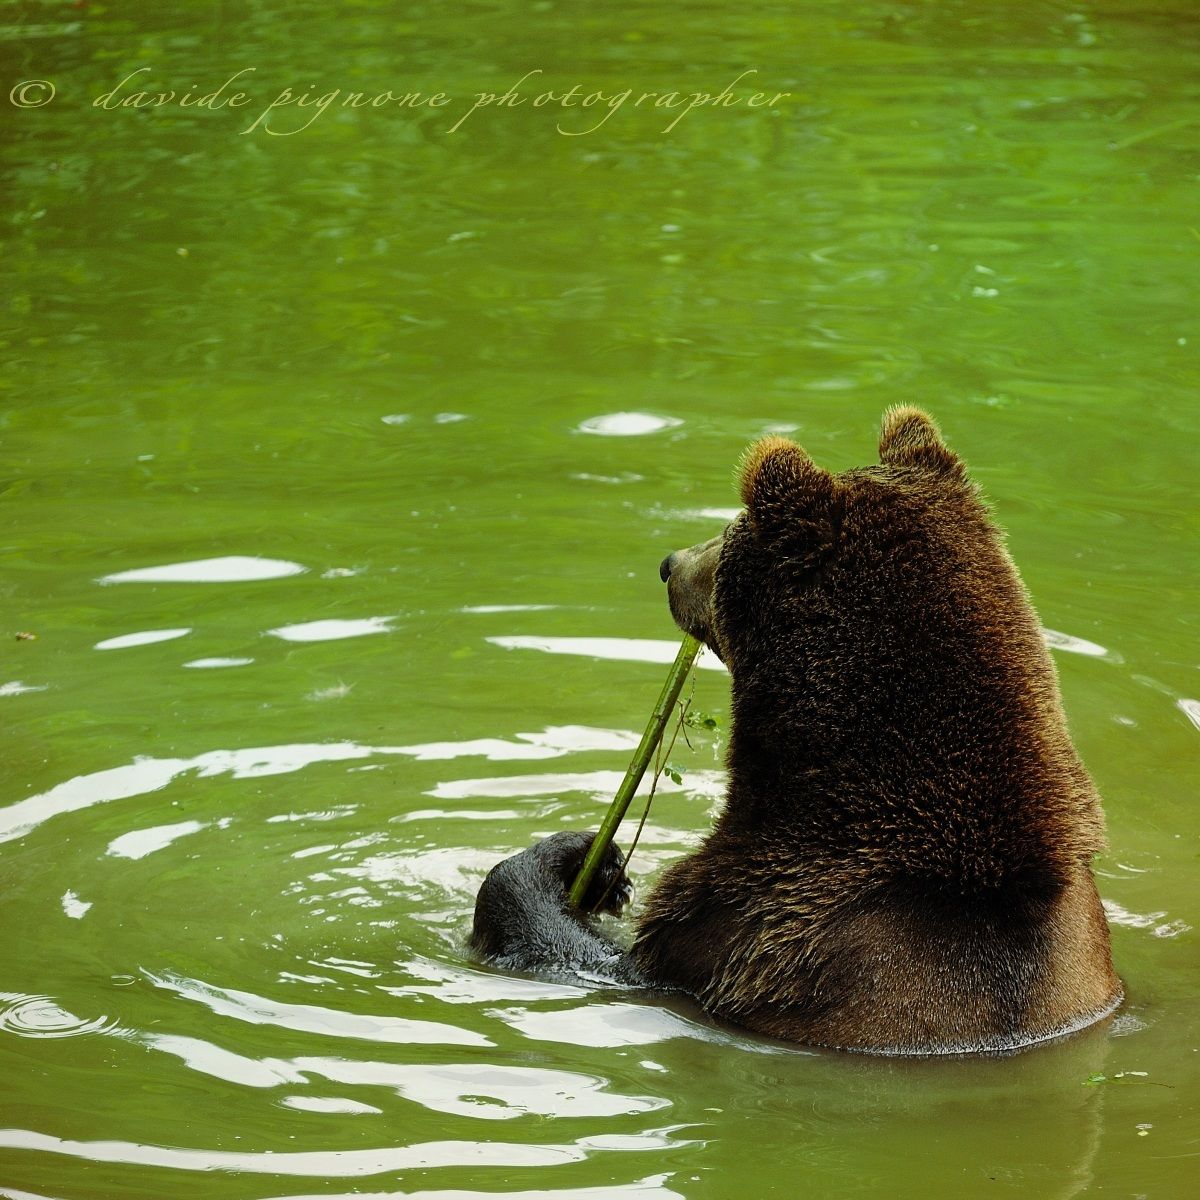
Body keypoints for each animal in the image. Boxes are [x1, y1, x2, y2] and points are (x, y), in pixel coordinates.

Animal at [470, 407, 1122, 1054]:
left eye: (729, 532)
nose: (668, 565)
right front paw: (599, 861)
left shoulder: (749, 929)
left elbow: (595, 958)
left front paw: (560, 861)